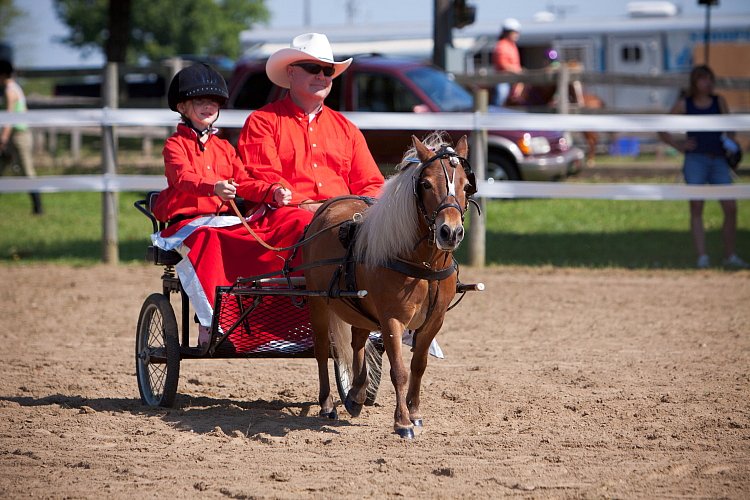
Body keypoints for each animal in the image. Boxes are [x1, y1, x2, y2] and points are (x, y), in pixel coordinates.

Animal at [302, 132, 478, 438]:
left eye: (466, 186)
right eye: (425, 184)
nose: (450, 232)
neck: (424, 265)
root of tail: (327, 207)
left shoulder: (434, 321)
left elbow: (418, 365)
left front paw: (415, 412)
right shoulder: (392, 319)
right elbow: (399, 370)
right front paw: (402, 421)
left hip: (358, 305)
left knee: (358, 341)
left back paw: (357, 394)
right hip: (318, 302)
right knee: (323, 349)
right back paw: (327, 404)